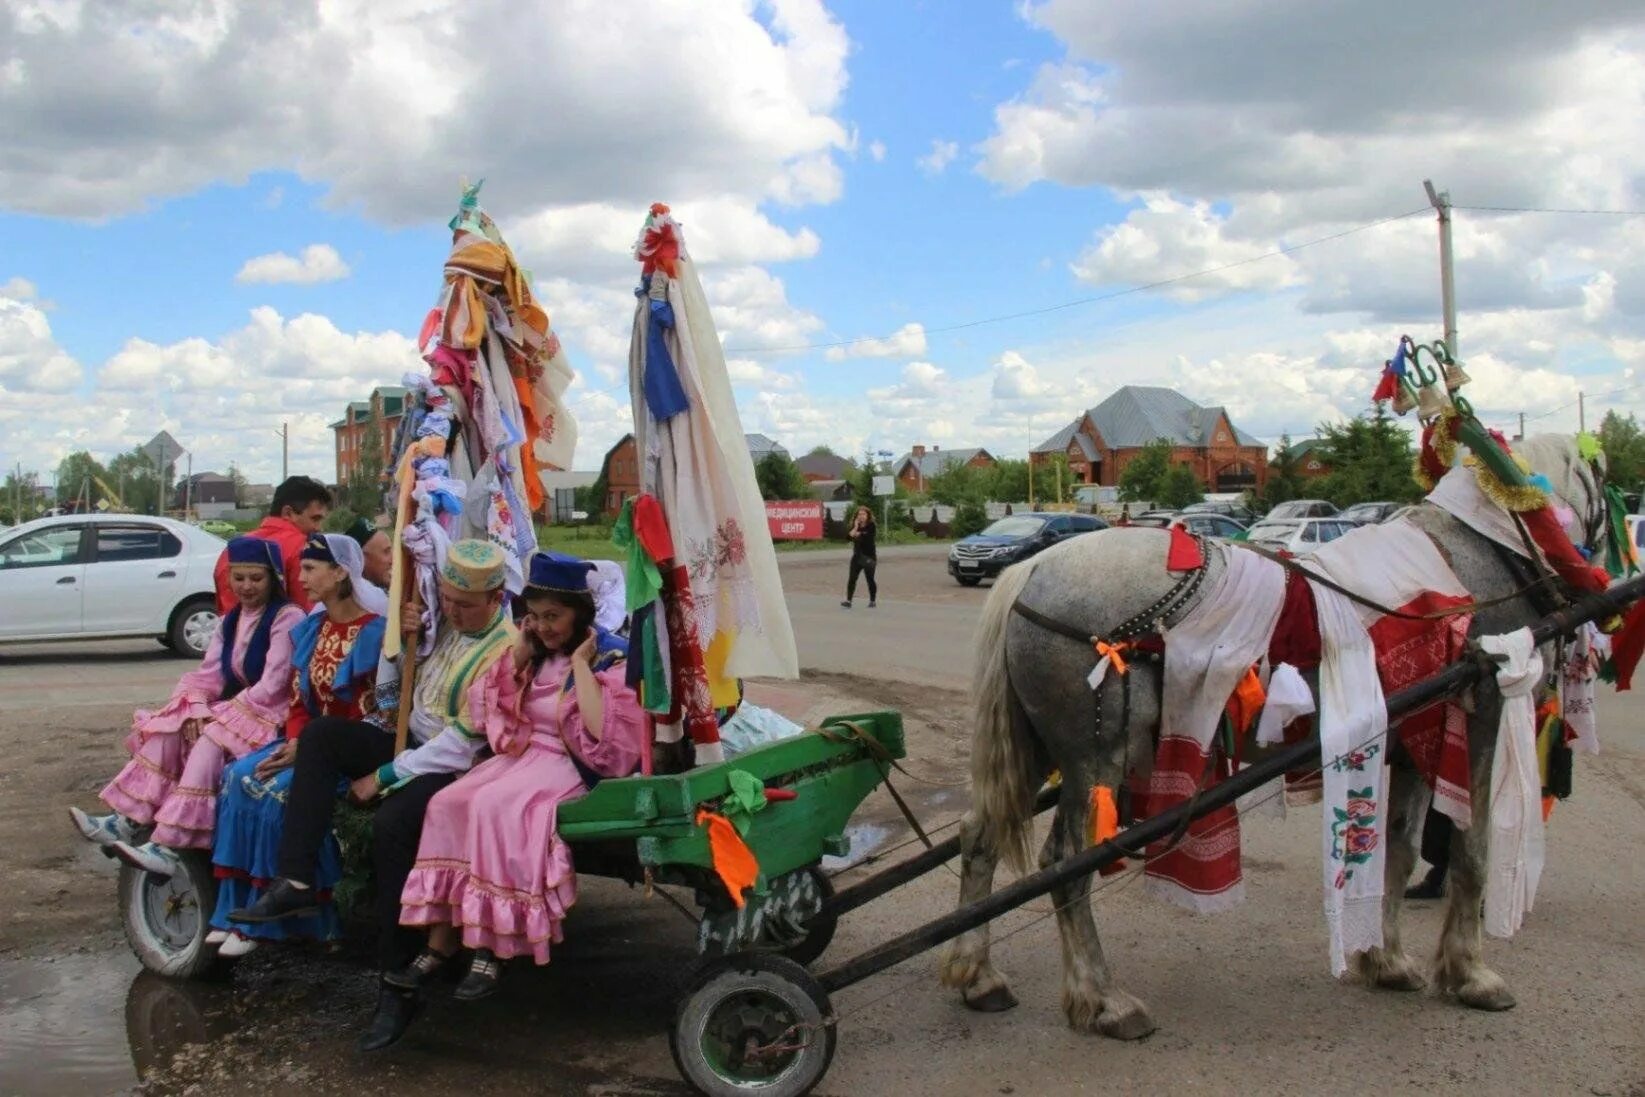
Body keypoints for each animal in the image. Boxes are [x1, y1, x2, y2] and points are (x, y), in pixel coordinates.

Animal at [940, 434, 1605, 1039]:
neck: (1470, 558)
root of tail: (1030, 570)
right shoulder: (1482, 717)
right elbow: (1471, 851)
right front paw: (1471, 974)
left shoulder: (1418, 740)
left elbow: (1400, 847)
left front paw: (1387, 959)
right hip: (1095, 762)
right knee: (1066, 864)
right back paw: (1103, 1000)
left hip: (1040, 752)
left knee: (980, 837)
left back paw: (979, 975)